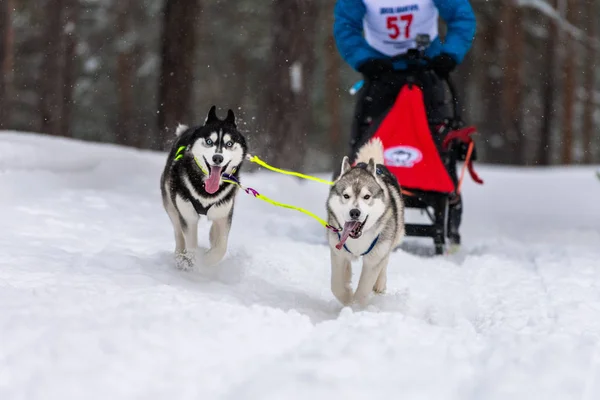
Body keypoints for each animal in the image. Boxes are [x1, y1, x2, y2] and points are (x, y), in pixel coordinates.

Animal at [161, 105, 247, 268]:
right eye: (209, 141)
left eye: (229, 144)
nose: (217, 158)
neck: (205, 191)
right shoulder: (188, 215)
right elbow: (191, 244)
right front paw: (193, 260)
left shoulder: (224, 214)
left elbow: (221, 247)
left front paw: (205, 261)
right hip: (171, 205)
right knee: (178, 233)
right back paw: (180, 257)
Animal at [326, 138, 406, 306]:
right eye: (346, 196)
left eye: (367, 196)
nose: (354, 212)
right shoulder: (338, 253)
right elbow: (336, 286)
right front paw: (347, 297)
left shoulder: (374, 258)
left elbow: (363, 290)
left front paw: (355, 307)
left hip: (393, 236)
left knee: (386, 260)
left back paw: (380, 283)